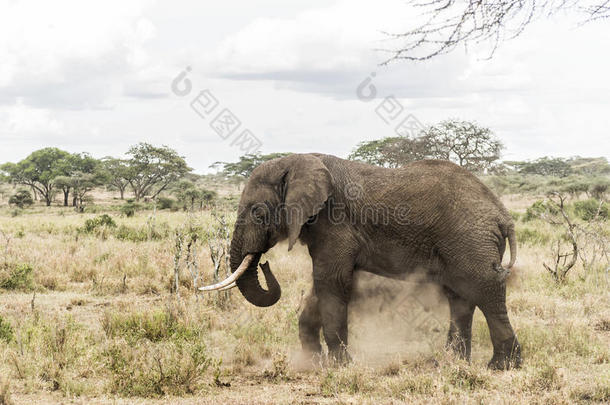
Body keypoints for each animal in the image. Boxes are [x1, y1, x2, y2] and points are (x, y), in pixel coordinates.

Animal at [198, 152, 516, 370]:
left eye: (258, 213)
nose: (264, 264)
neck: (299, 160)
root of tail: (503, 215)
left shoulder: (335, 221)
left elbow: (331, 281)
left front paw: (340, 365)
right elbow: (320, 286)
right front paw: (312, 363)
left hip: (471, 239)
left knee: (485, 289)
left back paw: (501, 366)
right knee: (460, 296)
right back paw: (451, 361)